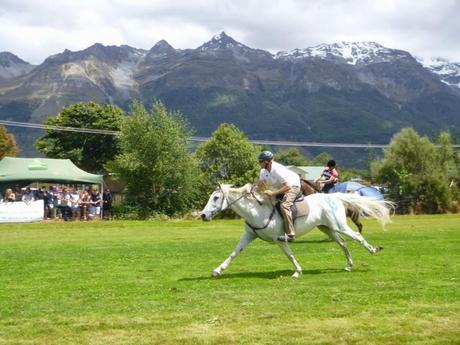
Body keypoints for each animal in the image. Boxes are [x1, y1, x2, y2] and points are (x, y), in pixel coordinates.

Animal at [199, 183, 394, 276]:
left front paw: (298, 271)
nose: (203, 215)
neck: (256, 210)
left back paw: (373, 250)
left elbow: (289, 255)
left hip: (340, 226)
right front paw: (217, 270)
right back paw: (349, 265)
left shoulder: (279, 239)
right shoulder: (249, 235)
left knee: (357, 237)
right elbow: (234, 253)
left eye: (216, 197)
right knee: (343, 243)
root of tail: (334, 196)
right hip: (327, 228)